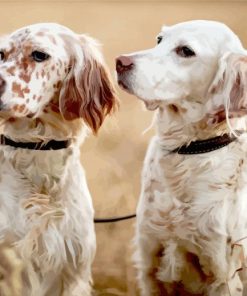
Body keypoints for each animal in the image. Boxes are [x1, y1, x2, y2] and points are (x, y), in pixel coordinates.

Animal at [116, 19, 247, 294]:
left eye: (186, 51)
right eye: (159, 39)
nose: (120, 61)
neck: (188, 151)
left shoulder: (223, 277)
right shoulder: (150, 264)